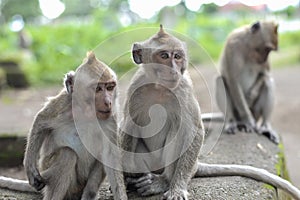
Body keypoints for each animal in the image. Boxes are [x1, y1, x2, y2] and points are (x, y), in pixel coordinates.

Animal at [0, 52, 127, 200]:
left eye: (110, 87)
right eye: (98, 89)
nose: (108, 102)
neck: (87, 112)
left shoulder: (111, 117)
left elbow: (111, 155)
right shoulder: (63, 104)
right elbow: (40, 121)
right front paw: (30, 168)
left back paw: (89, 195)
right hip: (49, 171)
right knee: (67, 155)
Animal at [119, 25, 300, 200]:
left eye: (177, 56)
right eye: (164, 56)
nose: (174, 71)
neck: (159, 87)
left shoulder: (184, 88)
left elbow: (194, 130)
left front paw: (177, 189)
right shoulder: (136, 87)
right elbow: (129, 126)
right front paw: (126, 177)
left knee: (180, 130)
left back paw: (163, 181)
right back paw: (137, 179)